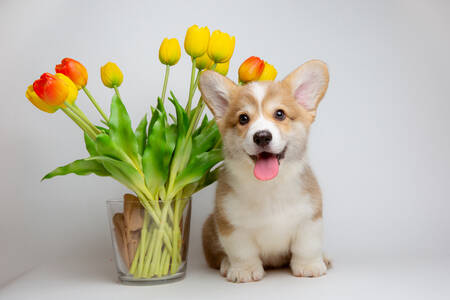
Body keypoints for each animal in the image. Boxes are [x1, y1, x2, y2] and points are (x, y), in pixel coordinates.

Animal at [199, 59, 328, 282]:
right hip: (209, 227)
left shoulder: (309, 219)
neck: (270, 186)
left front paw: (309, 266)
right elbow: (242, 252)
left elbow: (306, 246)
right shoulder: (231, 225)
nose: (262, 136)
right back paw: (226, 264)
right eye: (243, 118)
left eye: (280, 114)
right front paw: (245, 271)